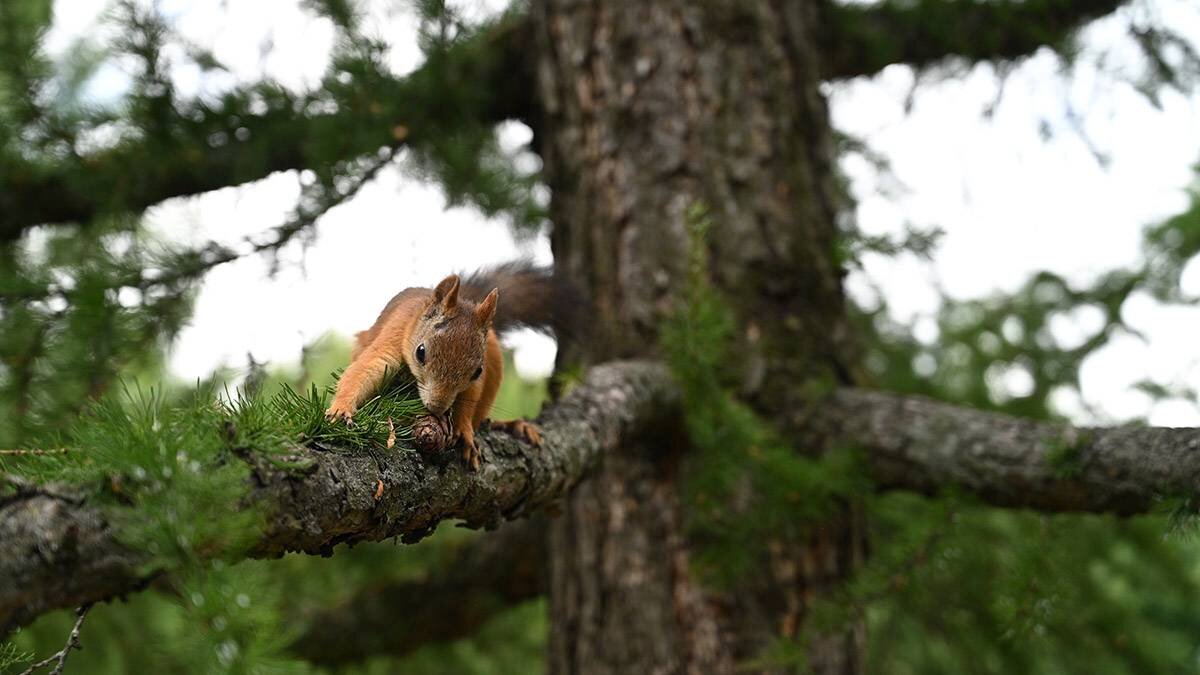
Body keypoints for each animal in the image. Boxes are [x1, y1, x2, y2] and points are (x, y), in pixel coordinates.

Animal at [326, 260, 573, 470]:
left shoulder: (480, 374)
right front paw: (341, 408)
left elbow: (469, 399)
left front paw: (464, 430)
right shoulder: (393, 337)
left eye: (477, 371)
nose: (437, 407)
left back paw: (509, 425)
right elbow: (365, 369)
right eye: (420, 352)